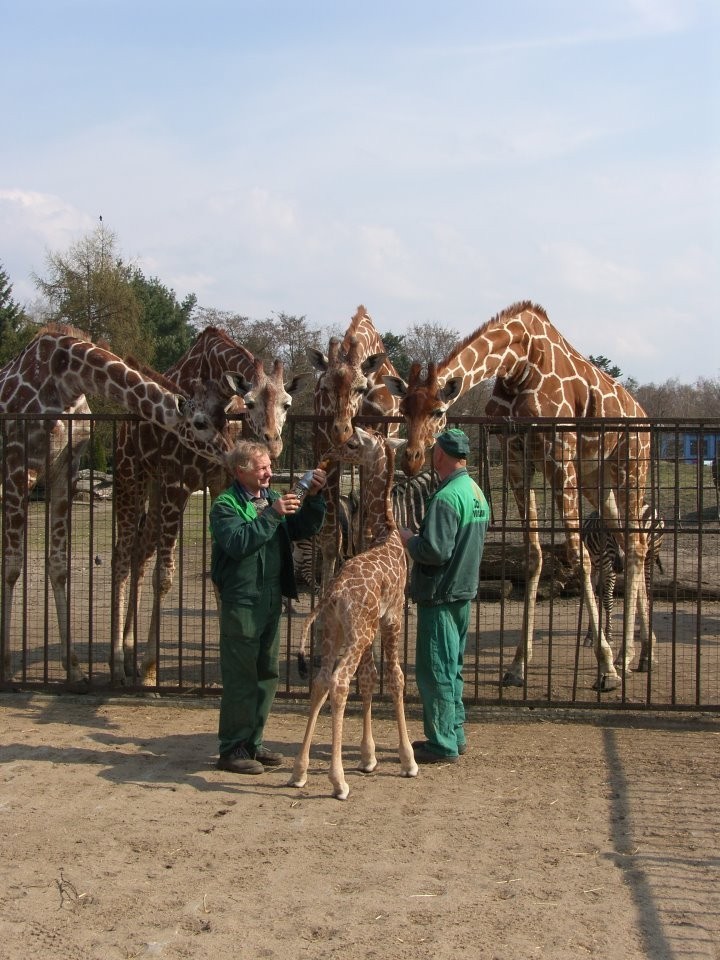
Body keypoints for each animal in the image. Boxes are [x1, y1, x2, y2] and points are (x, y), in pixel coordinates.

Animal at [0, 326, 240, 688]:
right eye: (199, 422)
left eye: (223, 419)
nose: (229, 452)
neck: (65, 376)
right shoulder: (19, 465)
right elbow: (13, 567)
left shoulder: (64, 469)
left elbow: (58, 565)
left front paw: (75, 669)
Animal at [111, 326, 306, 688]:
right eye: (250, 402)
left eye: (287, 403)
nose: (272, 444)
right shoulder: (177, 480)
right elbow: (165, 578)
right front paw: (150, 671)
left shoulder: (218, 481)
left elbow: (221, 571)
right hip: (132, 474)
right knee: (122, 554)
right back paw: (119, 663)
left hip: (155, 485)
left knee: (140, 552)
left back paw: (129, 652)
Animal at [290, 430, 420, 804]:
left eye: (352, 444)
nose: (330, 452)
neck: (386, 532)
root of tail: (332, 595)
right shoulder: (393, 616)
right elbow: (395, 677)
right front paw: (408, 760)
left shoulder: (377, 624)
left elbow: (370, 678)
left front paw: (368, 756)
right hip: (357, 634)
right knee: (338, 682)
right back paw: (338, 781)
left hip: (333, 633)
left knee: (321, 680)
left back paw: (300, 771)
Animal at [580, 502, 664, 652]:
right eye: (608, 532)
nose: (619, 566)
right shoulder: (592, 569)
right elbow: (592, 598)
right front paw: (590, 636)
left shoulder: (609, 570)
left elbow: (607, 601)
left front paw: (608, 636)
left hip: (650, 556)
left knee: (648, 591)